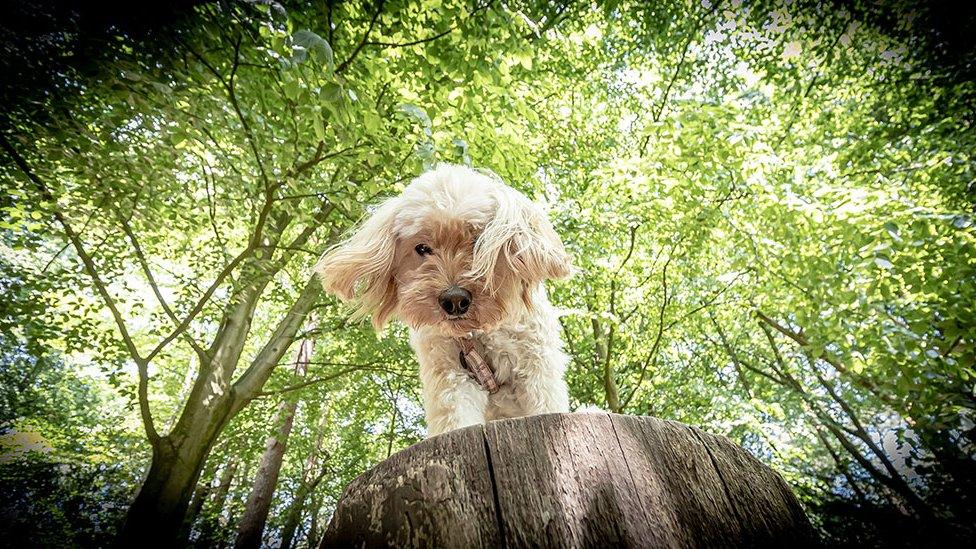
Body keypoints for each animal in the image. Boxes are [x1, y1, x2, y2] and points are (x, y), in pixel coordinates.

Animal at [314, 163, 572, 436]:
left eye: (478, 242)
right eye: (422, 248)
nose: (454, 300)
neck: (473, 334)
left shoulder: (535, 364)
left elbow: (544, 402)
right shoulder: (448, 375)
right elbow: (455, 418)